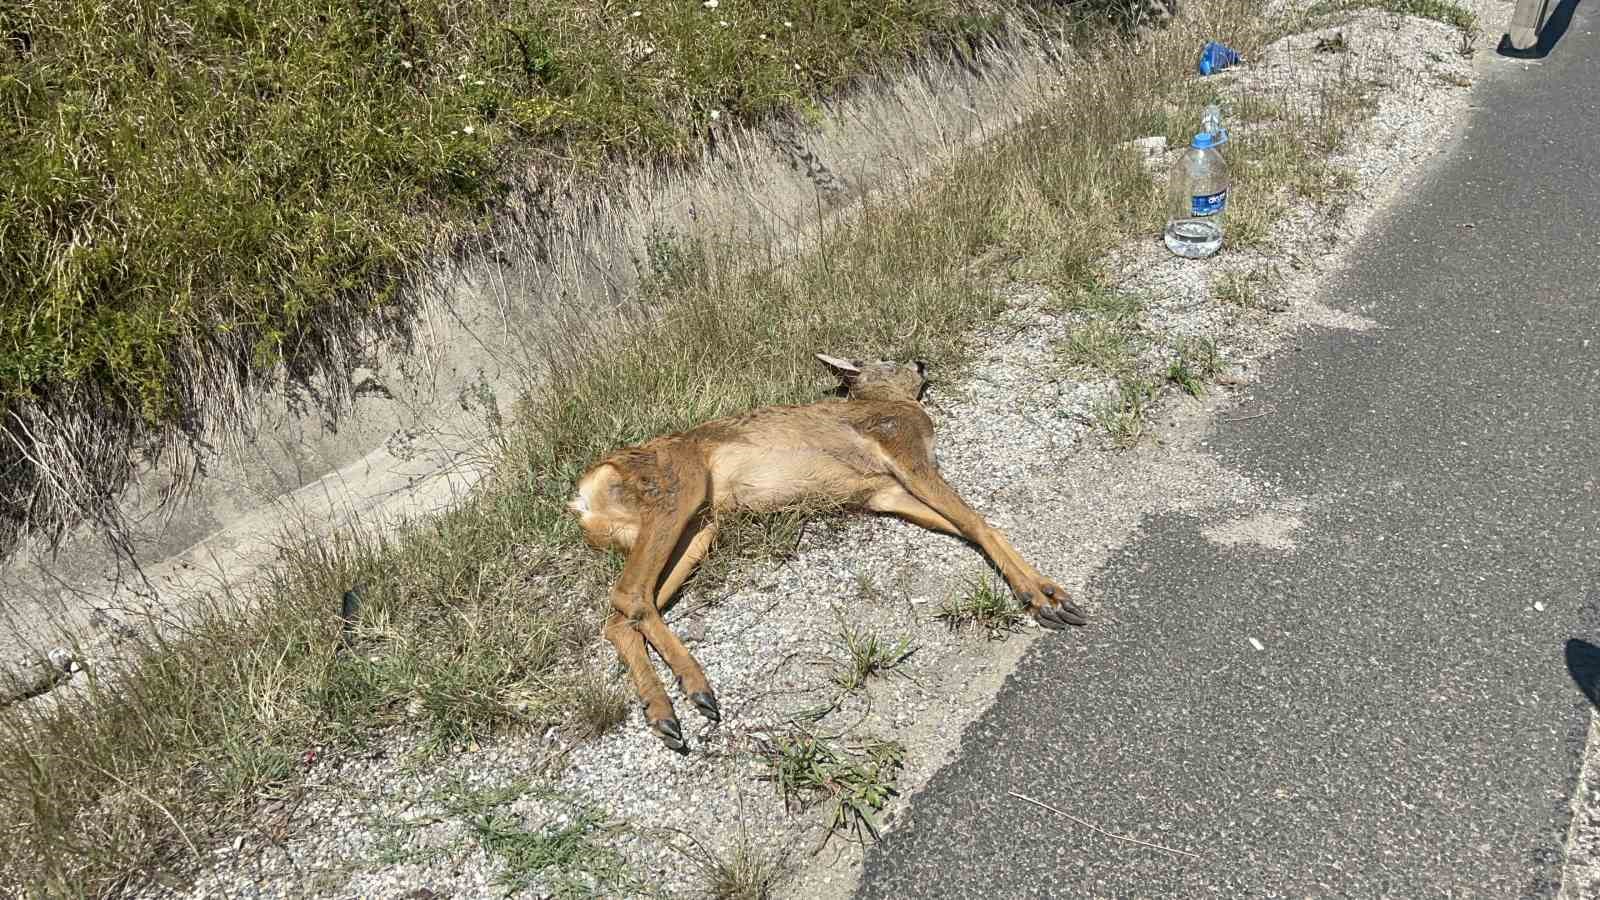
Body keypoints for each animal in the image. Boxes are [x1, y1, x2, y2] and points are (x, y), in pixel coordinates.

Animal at [566, 353, 1088, 746]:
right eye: (885, 357)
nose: (921, 360)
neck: (890, 403)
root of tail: (584, 498)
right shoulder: (901, 445)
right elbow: (977, 520)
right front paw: (1045, 596)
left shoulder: (883, 493)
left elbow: (967, 526)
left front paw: (1046, 593)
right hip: (678, 484)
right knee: (629, 595)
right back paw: (696, 689)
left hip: (699, 527)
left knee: (623, 613)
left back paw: (664, 712)